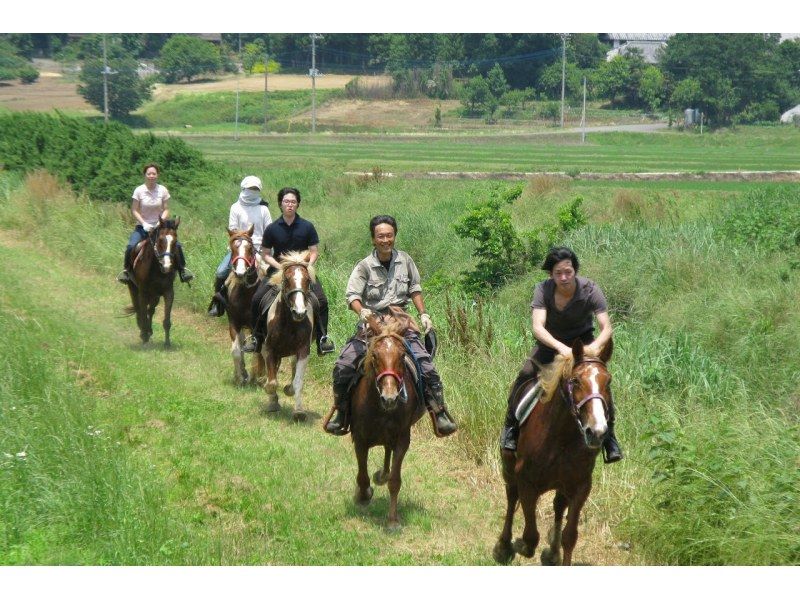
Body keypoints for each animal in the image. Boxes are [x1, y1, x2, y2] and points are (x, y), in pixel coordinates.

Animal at [124, 218, 180, 350]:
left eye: (175, 242)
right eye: (160, 240)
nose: (167, 266)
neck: (156, 268)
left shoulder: (168, 292)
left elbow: (166, 321)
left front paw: (167, 344)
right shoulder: (143, 292)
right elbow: (142, 313)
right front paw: (144, 336)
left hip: (155, 295)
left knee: (151, 310)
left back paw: (149, 331)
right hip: (134, 289)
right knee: (139, 309)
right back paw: (144, 332)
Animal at [223, 227, 264, 386]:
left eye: (250, 248)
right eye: (233, 248)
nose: (240, 273)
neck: (246, 295)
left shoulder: (256, 328)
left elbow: (256, 352)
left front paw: (253, 378)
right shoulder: (234, 322)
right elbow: (236, 350)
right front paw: (239, 378)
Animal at [255, 251, 318, 424]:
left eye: (307, 280)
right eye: (287, 280)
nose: (300, 312)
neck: (289, 322)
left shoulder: (303, 350)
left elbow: (298, 381)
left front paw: (299, 411)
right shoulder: (269, 349)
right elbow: (272, 382)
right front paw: (272, 401)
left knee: (292, 366)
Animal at [346, 316, 428, 532]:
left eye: (402, 355)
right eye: (374, 355)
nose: (390, 398)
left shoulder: (402, 439)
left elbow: (395, 481)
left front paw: (392, 520)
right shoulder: (359, 439)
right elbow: (362, 476)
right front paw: (363, 496)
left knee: (387, 451)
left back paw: (382, 475)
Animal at [490, 340, 616, 564]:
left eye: (607, 382)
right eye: (575, 381)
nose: (597, 432)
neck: (561, 437)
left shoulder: (580, 487)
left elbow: (570, 536)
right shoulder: (526, 482)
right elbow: (531, 536)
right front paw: (520, 545)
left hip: (562, 484)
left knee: (558, 506)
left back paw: (552, 553)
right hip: (509, 466)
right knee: (511, 496)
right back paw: (504, 547)